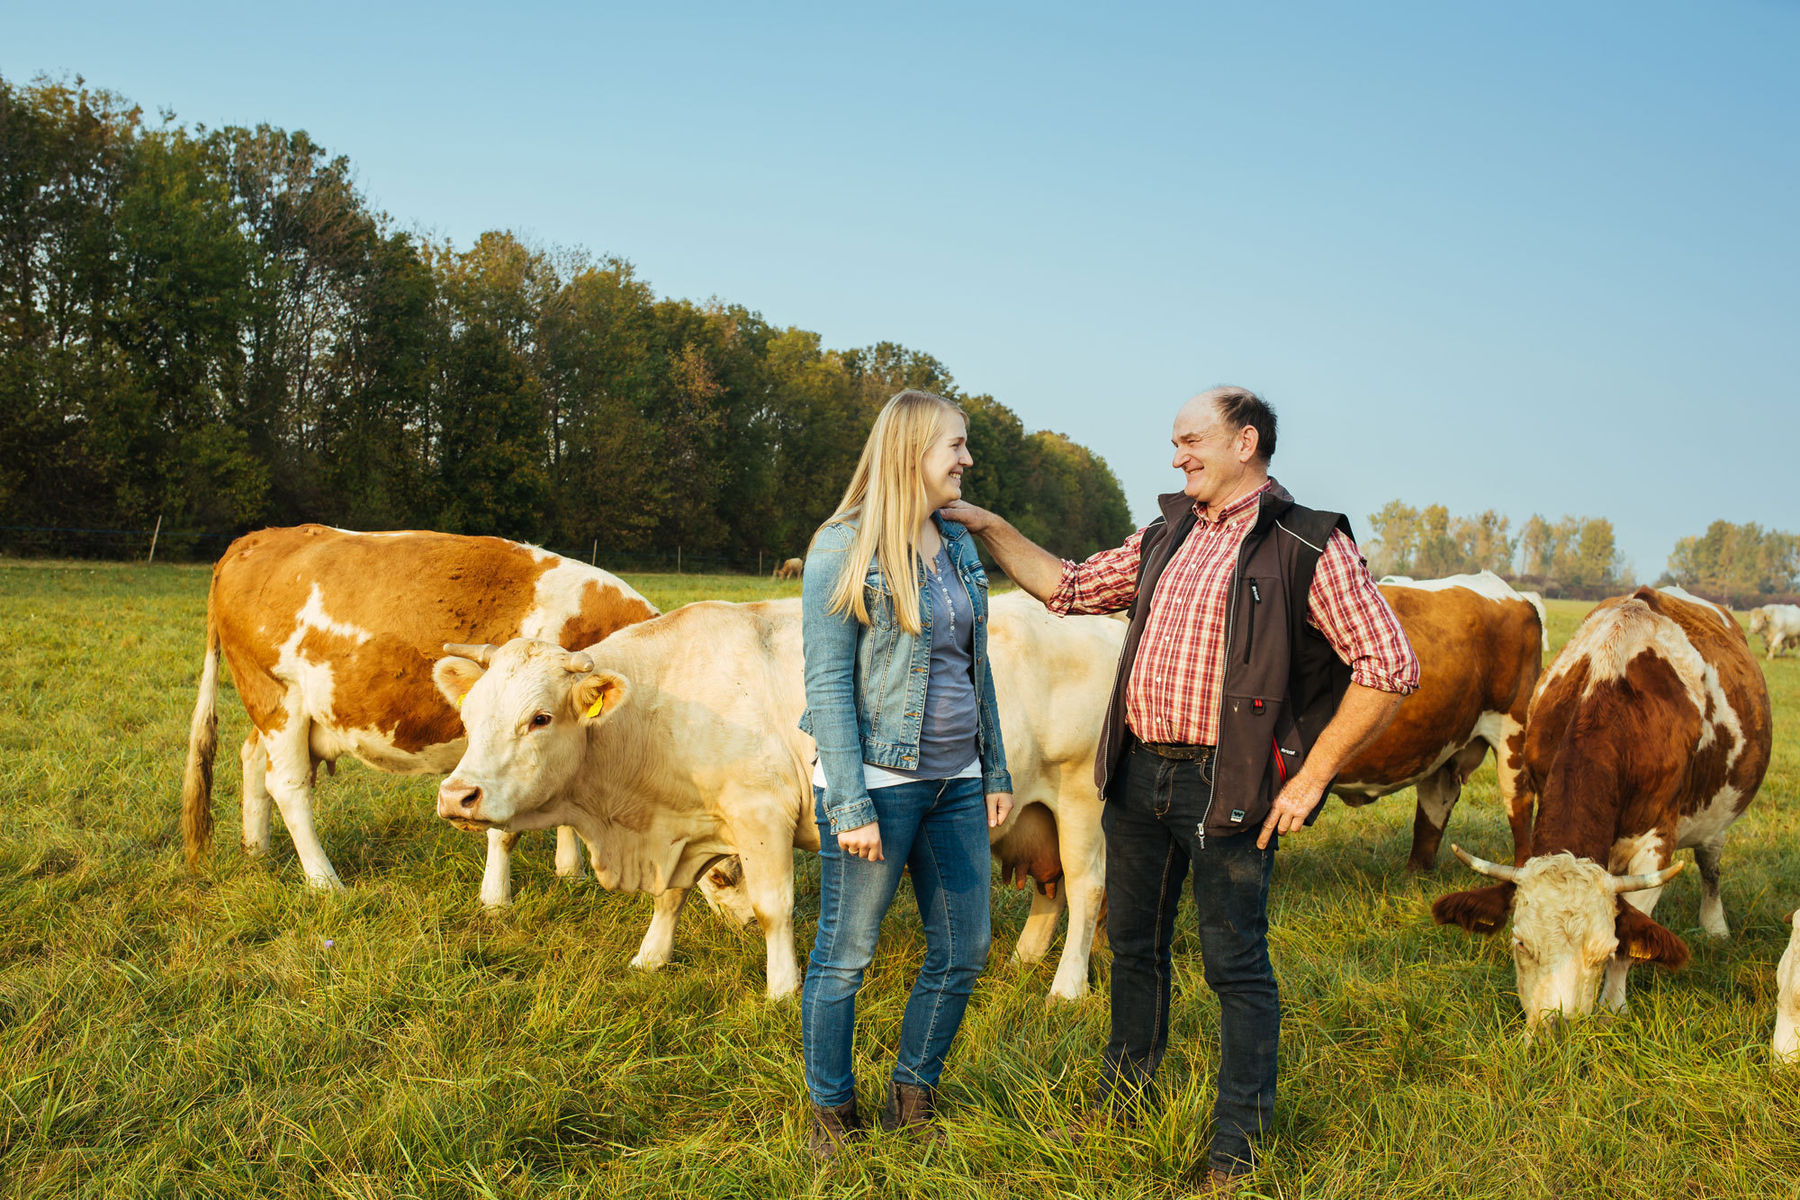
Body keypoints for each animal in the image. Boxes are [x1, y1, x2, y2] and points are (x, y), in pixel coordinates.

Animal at [180, 525, 662, 899]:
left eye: (542, 719)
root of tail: (258, 537)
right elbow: (503, 828)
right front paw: (496, 900)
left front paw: (570, 873)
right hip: (279, 699)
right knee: (289, 786)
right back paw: (325, 882)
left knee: (251, 759)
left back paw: (256, 850)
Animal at [428, 586, 1116, 1000]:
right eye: (471, 714)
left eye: (539, 718)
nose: (457, 796)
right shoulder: (686, 826)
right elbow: (671, 898)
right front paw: (650, 958)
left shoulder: (761, 814)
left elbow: (772, 907)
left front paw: (783, 987)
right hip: (1035, 813)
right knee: (1051, 890)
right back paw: (1024, 959)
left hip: (1083, 801)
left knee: (1086, 892)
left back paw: (1067, 986)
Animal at [1432, 590, 1771, 1036]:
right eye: (1520, 943)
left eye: (1603, 950)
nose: (1554, 1031)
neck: (1609, 686)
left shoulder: (1657, 843)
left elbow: (1632, 935)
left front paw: (1614, 1006)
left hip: (1717, 812)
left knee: (1710, 864)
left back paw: (1715, 926)